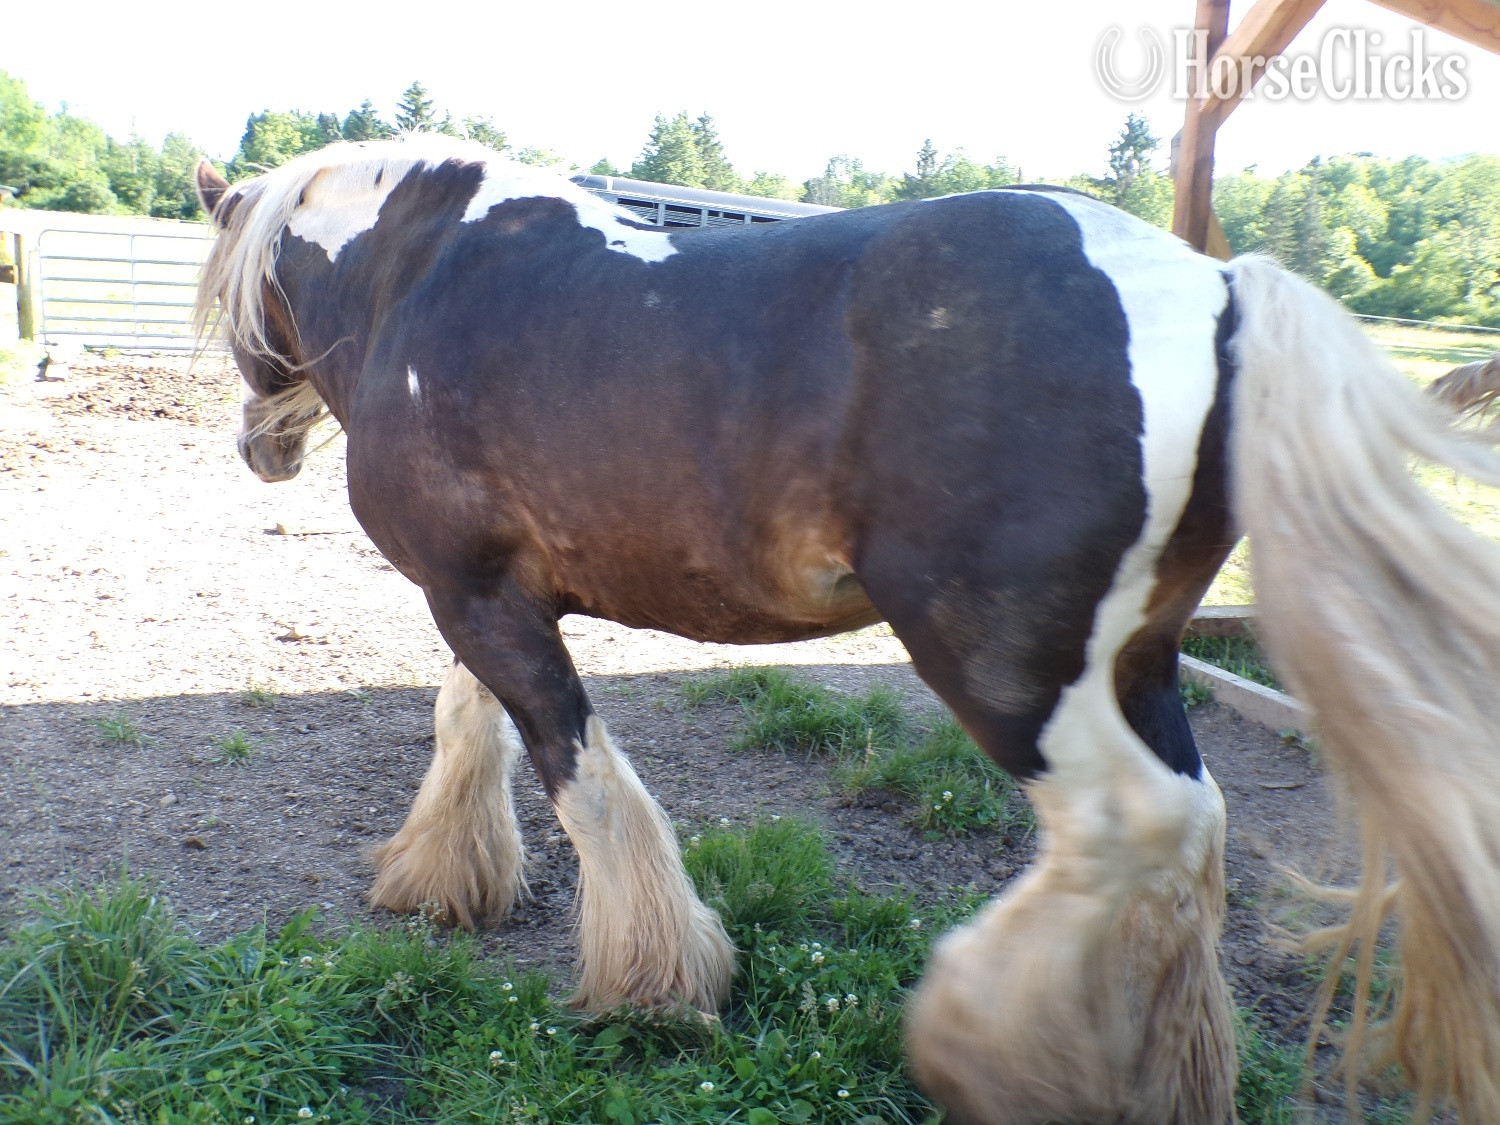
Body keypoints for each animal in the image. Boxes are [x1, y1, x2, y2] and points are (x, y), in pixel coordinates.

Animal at [192, 134, 1500, 1124]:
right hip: (1136, 662)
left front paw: (655, 981)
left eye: (234, 300)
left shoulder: (475, 598)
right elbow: (474, 726)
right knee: (1193, 841)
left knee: (1134, 831)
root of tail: (1218, 290)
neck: (425, 278)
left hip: (1010, 671)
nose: (259, 449)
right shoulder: (482, 592)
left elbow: (582, 779)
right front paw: (444, 881)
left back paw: (983, 1038)